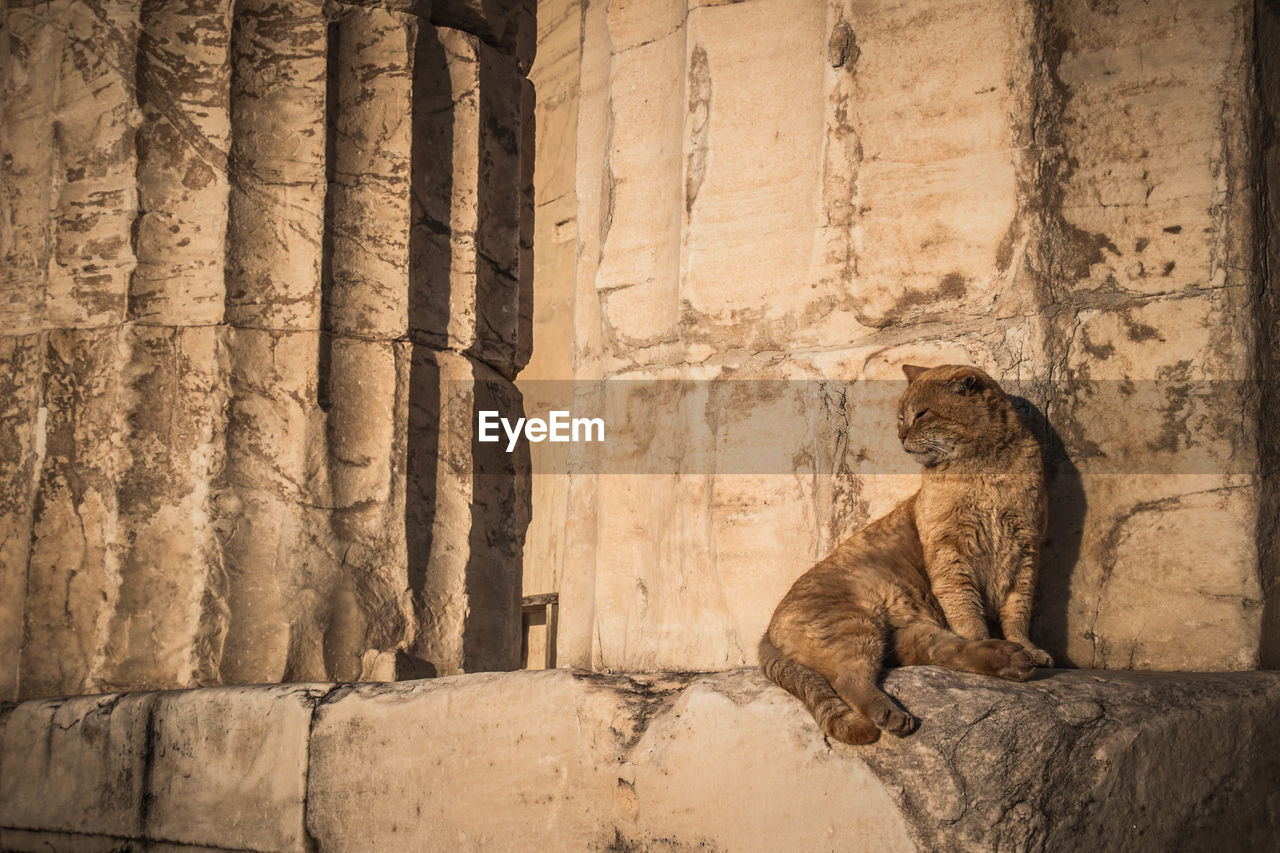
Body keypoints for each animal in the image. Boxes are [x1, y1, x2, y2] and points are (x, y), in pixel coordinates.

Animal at [757, 361, 1049, 742]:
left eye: (921, 413)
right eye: (900, 417)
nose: (901, 435)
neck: (985, 471)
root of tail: (766, 631)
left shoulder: (1026, 551)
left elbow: (1017, 613)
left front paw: (1030, 648)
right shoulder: (951, 556)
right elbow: (969, 615)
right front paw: (996, 637)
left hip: (907, 635)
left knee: (951, 651)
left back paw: (1012, 658)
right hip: (853, 627)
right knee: (850, 680)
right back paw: (892, 714)